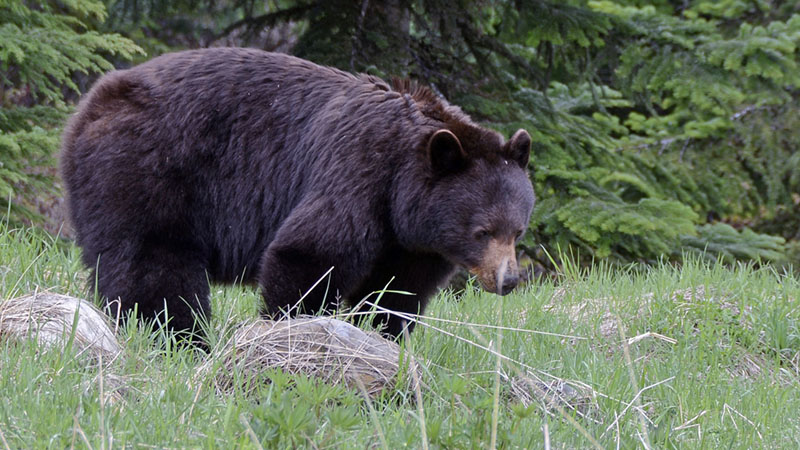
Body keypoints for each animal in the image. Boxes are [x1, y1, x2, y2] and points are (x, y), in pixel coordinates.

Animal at [61, 47, 536, 340]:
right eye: (482, 231)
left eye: (517, 231)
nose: (508, 280)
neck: (401, 185)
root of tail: (89, 107)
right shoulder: (357, 173)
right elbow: (310, 252)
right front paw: (294, 328)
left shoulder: (412, 242)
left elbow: (396, 291)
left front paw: (383, 333)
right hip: (146, 168)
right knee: (152, 261)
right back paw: (180, 337)